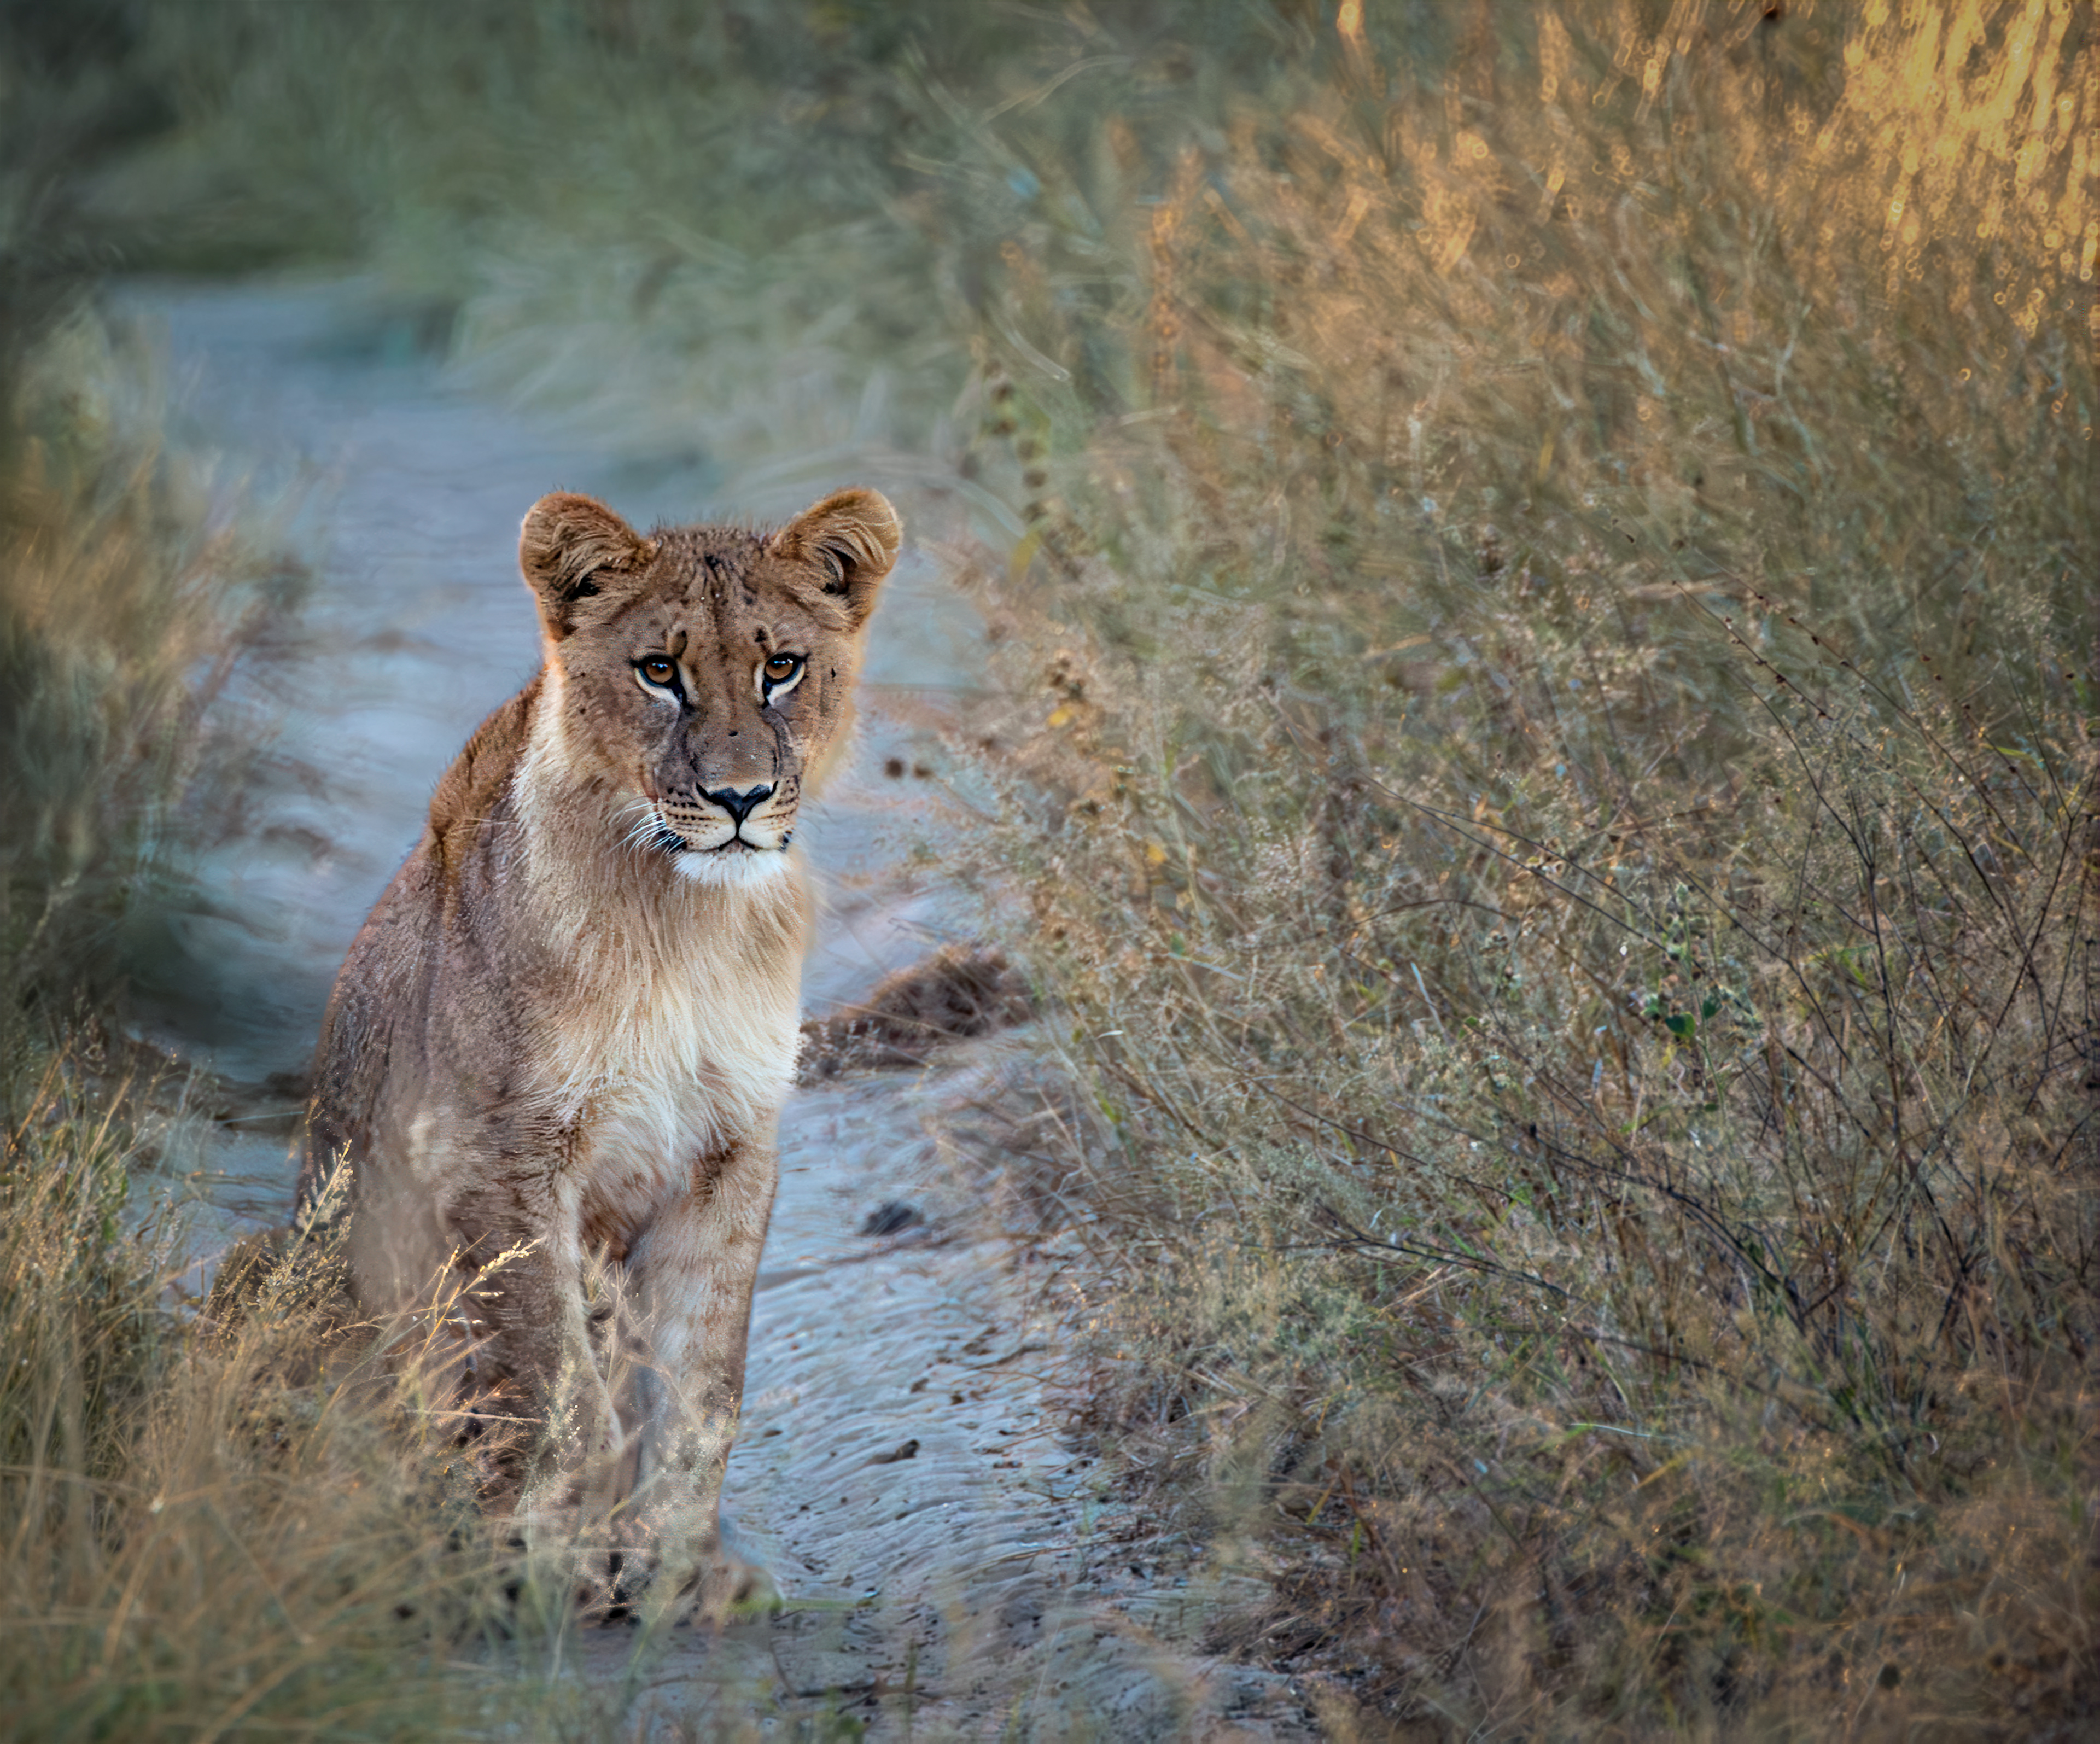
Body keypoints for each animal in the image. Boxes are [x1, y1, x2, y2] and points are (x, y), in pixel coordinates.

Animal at [297, 484, 900, 1612]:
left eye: (782, 667)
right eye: (659, 671)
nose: (741, 799)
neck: (685, 919)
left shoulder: (729, 1150)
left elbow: (701, 1388)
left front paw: (675, 1569)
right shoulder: (494, 1153)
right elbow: (562, 1386)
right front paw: (557, 1565)